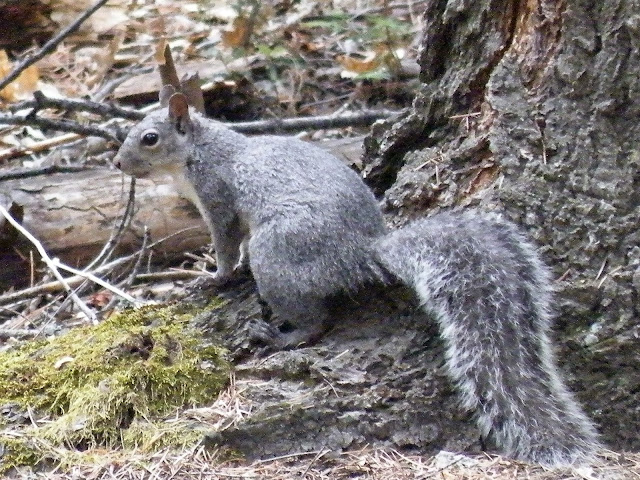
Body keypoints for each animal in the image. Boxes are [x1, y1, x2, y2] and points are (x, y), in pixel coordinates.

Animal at [114, 87, 600, 468]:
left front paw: (213, 277)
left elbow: (227, 244)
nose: (118, 164)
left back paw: (281, 335)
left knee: (315, 321)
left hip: (279, 255)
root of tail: (359, 254)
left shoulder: (217, 197)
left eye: (149, 138)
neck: (201, 149)